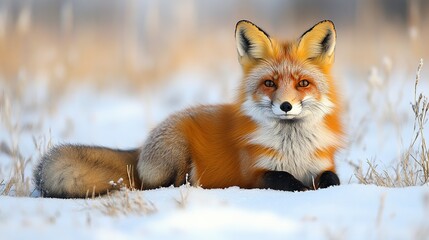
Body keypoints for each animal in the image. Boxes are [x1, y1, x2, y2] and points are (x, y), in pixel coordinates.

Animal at [32, 19, 342, 198]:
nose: (286, 106)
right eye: (269, 83)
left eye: (303, 83)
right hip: (178, 152)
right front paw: (305, 189)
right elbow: (287, 181)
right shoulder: (255, 173)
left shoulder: (323, 165)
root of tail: (140, 148)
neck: (293, 150)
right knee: (161, 186)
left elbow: (333, 179)